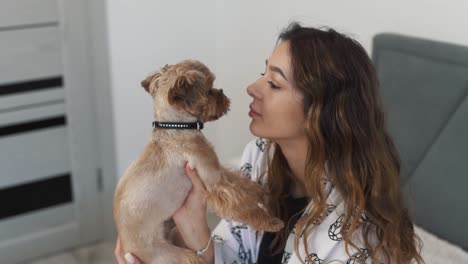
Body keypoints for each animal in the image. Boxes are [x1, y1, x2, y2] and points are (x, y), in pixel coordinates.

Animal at [114, 60, 282, 264]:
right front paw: (270, 222)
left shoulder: (218, 170)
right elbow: (243, 205)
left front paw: (260, 192)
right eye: (209, 90)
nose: (221, 92)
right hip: (170, 255)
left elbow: (242, 182)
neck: (176, 127)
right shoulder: (215, 183)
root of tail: (128, 247)